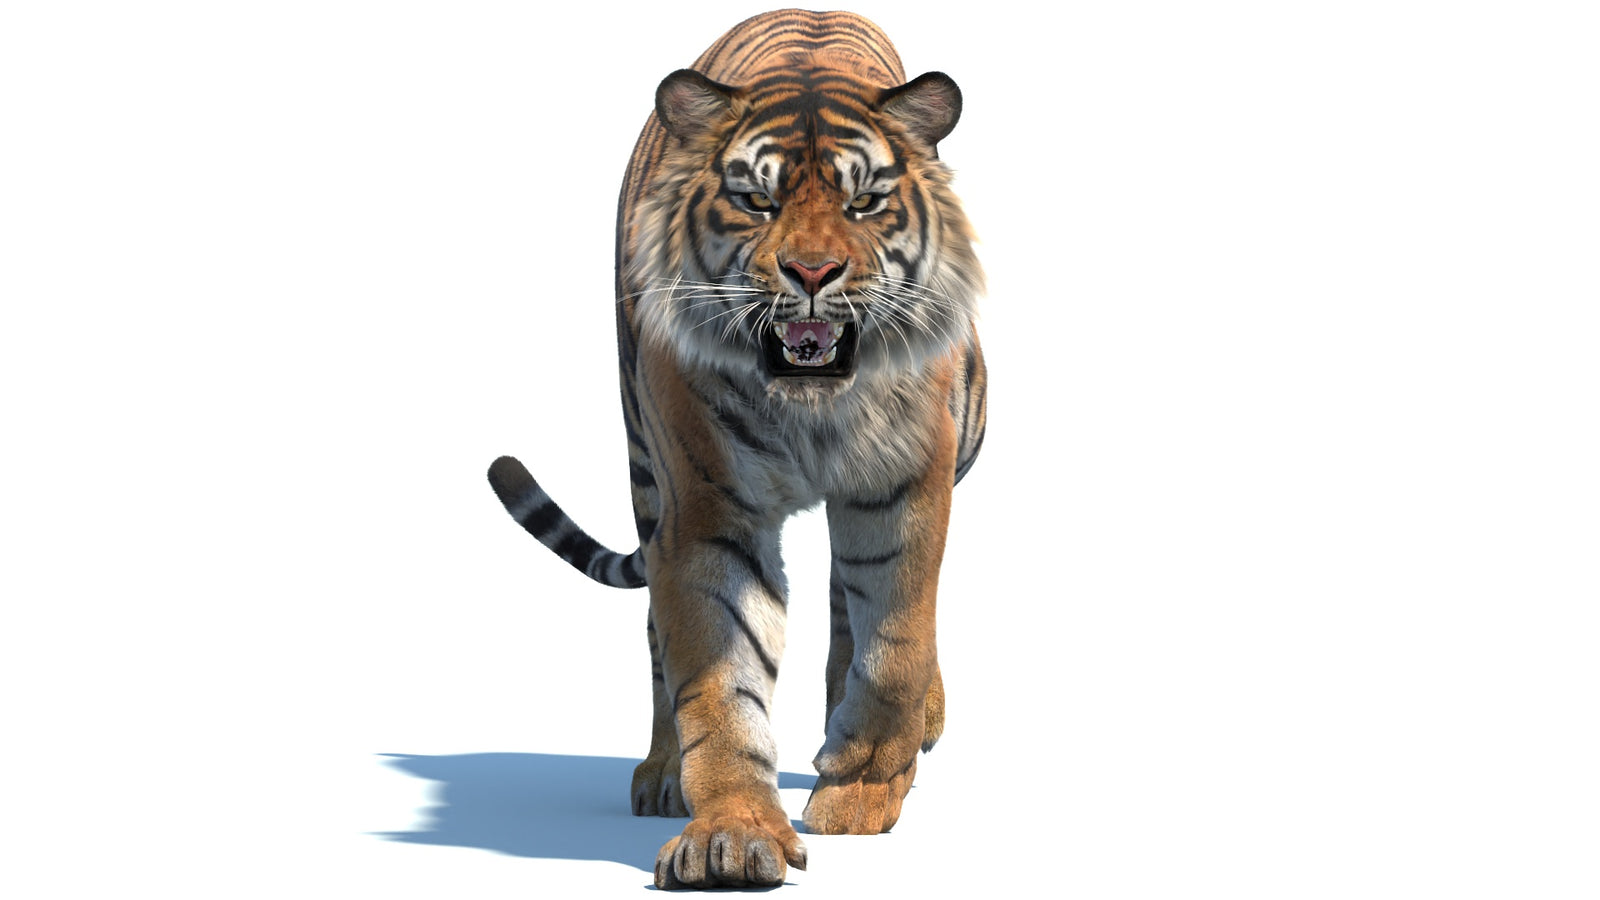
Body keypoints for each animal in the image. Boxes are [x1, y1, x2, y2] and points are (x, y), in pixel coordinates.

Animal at [487, 9, 985, 889]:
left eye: (865, 202)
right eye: (756, 201)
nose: (813, 272)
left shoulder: (904, 486)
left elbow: (895, 643)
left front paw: (859, 790)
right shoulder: (706, 510)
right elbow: (719, 679)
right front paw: (731, 835)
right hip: (646, 471)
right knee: (659, 636)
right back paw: (661, 774)